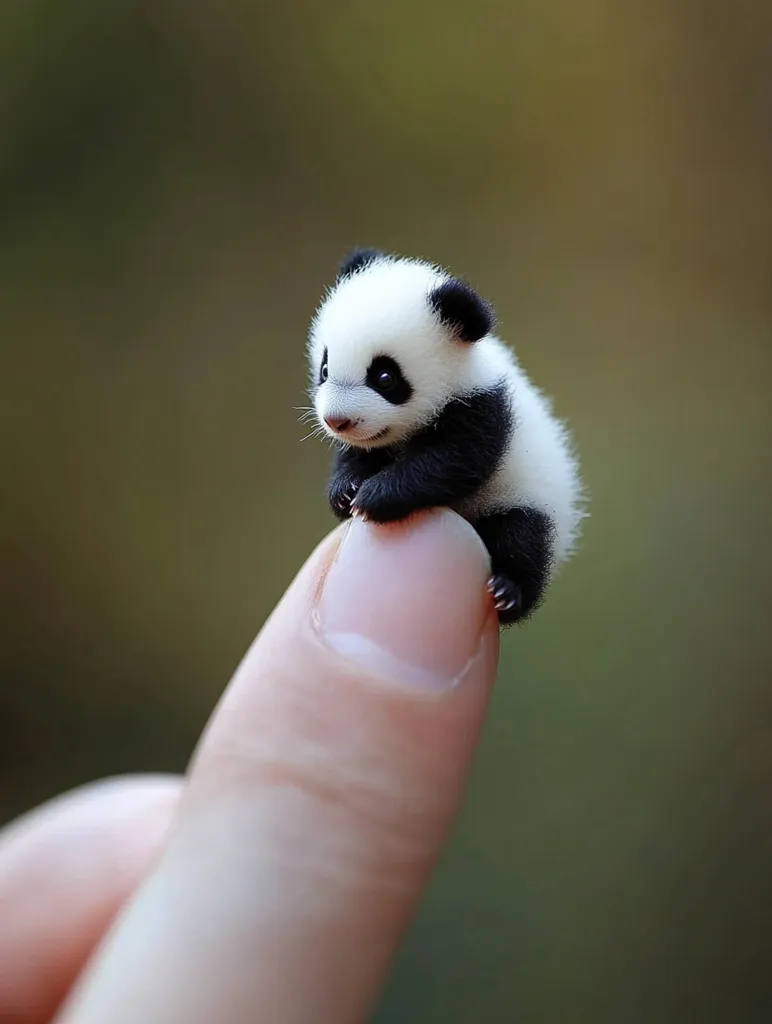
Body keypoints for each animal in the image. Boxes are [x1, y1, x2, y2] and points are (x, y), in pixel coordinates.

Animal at [306, 248, 585, 625]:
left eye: (384, 377)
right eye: (324, 369)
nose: (337, 421)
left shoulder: (480, 406)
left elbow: (453, 461)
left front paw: (375, 497)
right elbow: (357, 454)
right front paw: (345, 489)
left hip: (529, 499)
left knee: (523, 535)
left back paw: (508, 593)